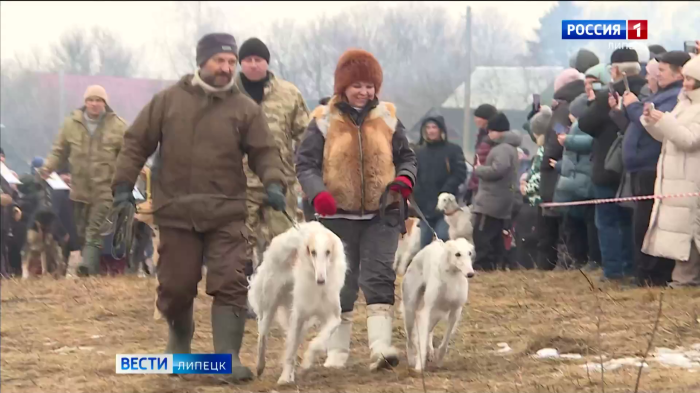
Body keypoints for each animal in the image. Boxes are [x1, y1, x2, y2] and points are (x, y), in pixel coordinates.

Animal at [249, 222, 348, 384]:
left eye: (328, 252)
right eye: (313, 252)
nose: (321, 280)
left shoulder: (333, 317)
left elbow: (317, 343)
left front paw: (306, 362)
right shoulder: (298, 316)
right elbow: (290, 352)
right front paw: (284, 378)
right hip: (270, 303)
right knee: (262, 336)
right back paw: (260, 366)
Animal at [400, 236, 476, 370]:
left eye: (469, 253)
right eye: (457, 254)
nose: (470, 274)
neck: (451, 276)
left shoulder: (455, 311)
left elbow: (445, 341)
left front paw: (439, 359)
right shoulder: (426, 311)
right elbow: (421, 341)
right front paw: (419, 365)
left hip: (435, 315)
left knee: (428, 333)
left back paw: (429, 352)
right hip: (410, 309)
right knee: (410, 339)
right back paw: (412, 359)